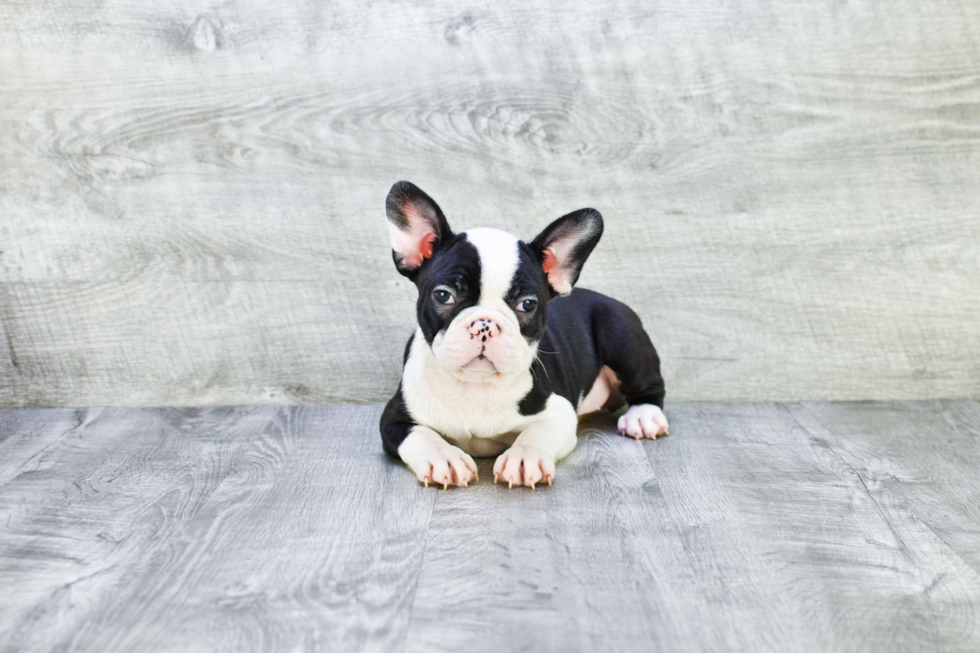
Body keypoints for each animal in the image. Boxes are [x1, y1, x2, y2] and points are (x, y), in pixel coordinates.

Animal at [376, 181, 668, 486]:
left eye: (527, 304)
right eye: (444, 295)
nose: (485, 324)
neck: (476, 385)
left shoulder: (560, 412)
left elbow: (537, 432)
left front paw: (524, 457)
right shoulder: (393, 418)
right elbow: (420, 434)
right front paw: (443, 457)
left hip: (620, 332)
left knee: (649, 384)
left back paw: (643, 415)